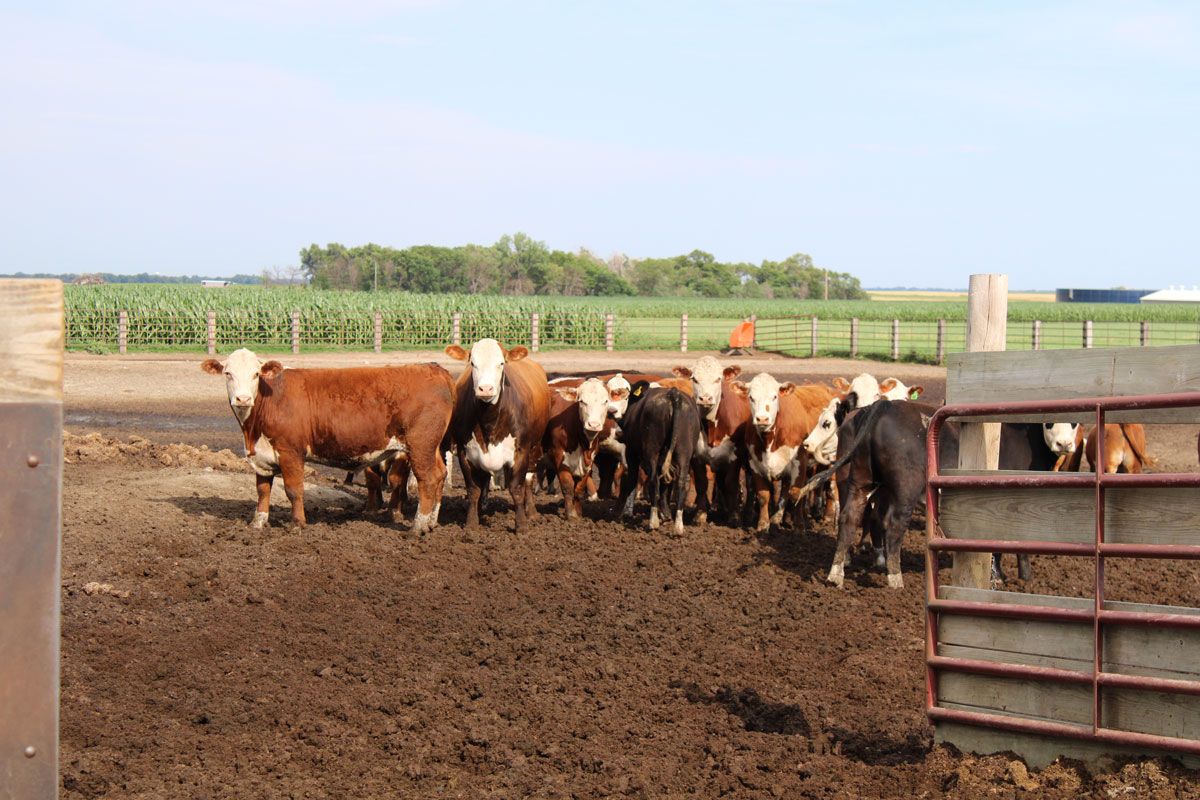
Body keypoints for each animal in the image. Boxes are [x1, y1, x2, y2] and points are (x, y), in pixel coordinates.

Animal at [202, 347, 453, 532]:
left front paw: (297, 524)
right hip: (432, 447)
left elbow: (293, 490)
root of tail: (433, 368)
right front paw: (258, 523)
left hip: (420, 445)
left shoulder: (291, 452)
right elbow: (262, 490)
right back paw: (431, 523)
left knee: (427, 479)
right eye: (228, 373)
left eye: (256, 374)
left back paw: (418, 527)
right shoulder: (262, 457)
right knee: (441, 474)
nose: (242, 399)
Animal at [614, 383, 700, 534]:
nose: (618, 432)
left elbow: (631, 481)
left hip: (652, 451)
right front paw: (665, 514)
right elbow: (665, 487)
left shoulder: (631, 453)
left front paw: (622, 513)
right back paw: (678, 526)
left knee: (653, 481)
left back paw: (653, 522)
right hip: (684, 452)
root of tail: (673, 394)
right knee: (681, 483)